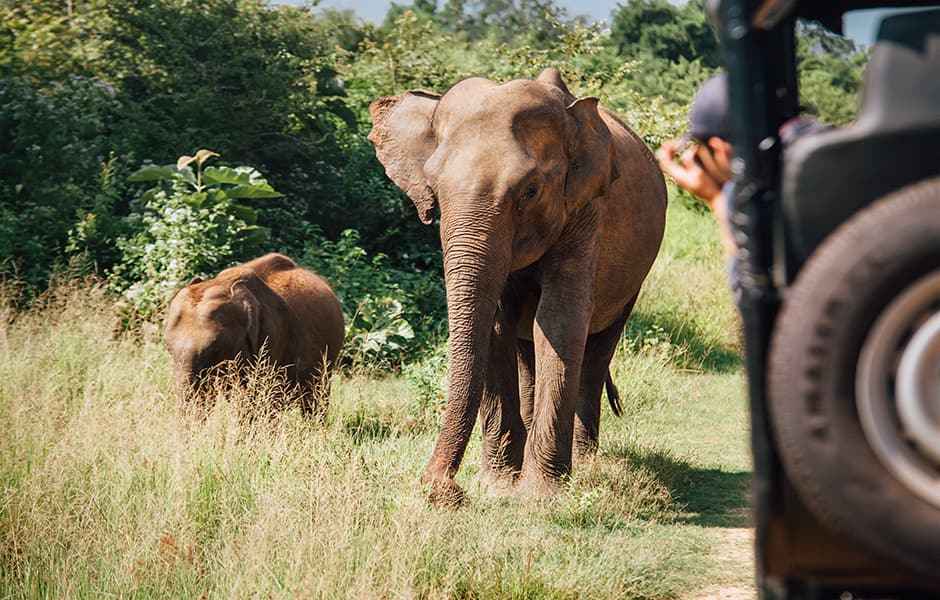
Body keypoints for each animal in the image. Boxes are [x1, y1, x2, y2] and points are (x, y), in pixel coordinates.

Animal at [370, 69, 668, 502]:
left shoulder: (585, 211)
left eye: (530, 191)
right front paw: (497, 486)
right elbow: (497, 326)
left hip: (635, 278)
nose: (440, 488)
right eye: (434, 190)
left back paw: (586, 463)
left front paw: (539, 495)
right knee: (528, 348)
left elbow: (559, 321)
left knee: (598, 348)